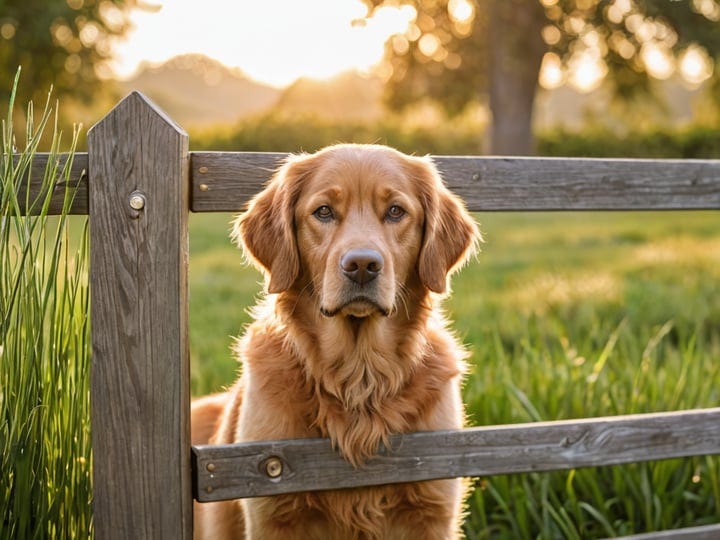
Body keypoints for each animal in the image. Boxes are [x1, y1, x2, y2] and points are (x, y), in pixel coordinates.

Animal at [194, 143, 480, 540]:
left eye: (396, 211)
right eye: (324, 211)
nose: (362, 266)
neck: (358, 377)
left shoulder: (431, 506)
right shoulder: (272, 505)